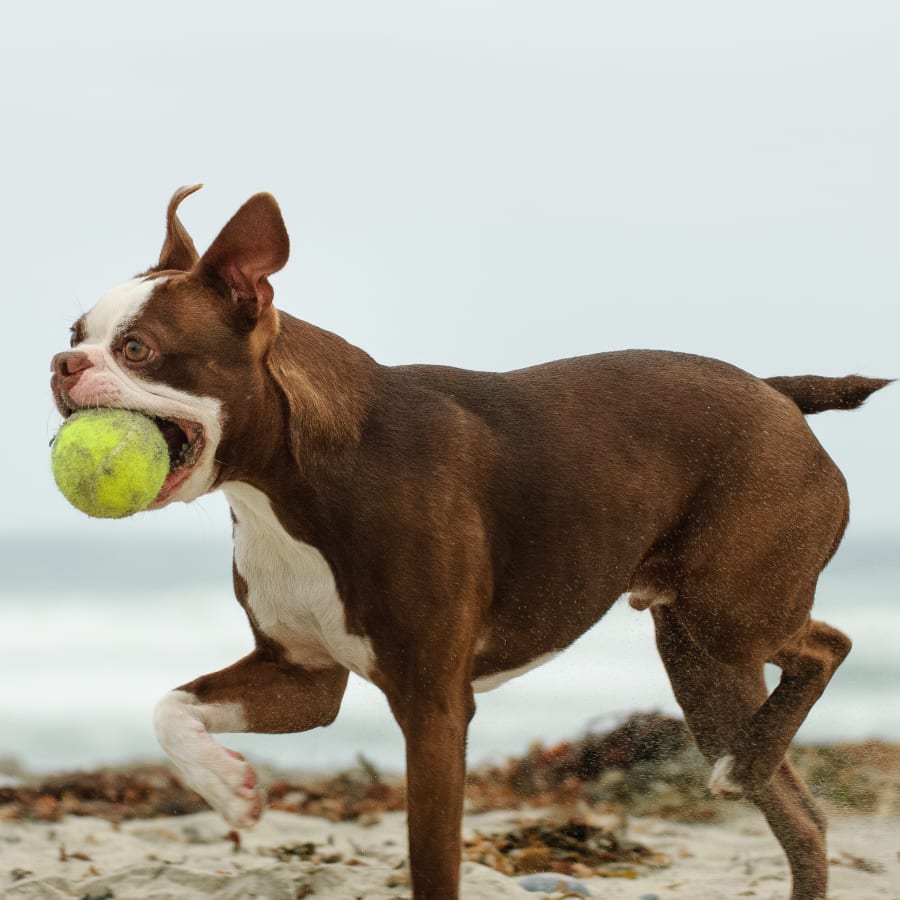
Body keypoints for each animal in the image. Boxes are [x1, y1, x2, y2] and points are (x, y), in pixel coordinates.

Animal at [52, 186, 888, 896]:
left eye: (137, 349)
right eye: (74, 335)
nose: (60, 364)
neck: (288, 487)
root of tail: (778, 394)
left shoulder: (433, 706)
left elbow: (433, 862)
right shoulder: (302, 677)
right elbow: (169, 707)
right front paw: (228, 789)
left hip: (729, 612)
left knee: (827, 646)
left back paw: (754, 753)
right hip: (701, 664)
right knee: (802, 813)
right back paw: (755, 769)